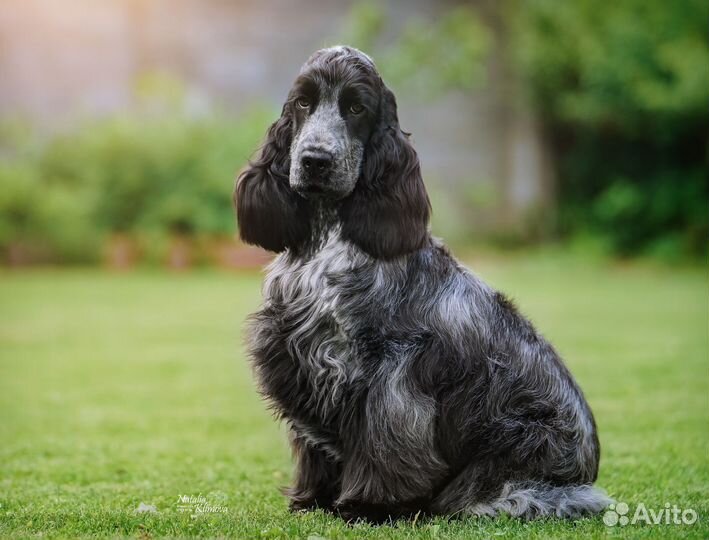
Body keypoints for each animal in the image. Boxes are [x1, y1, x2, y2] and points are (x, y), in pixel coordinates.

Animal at [234, 46, 608, 524]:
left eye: (356, 108)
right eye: (303, 103)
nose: (315, 160)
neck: (327, 237)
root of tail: (589, 466)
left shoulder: (392, 372)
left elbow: (386, 443)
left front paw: (368, 506)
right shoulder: (299, 358)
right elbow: (314, 445)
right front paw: (311, 500)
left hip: (518, 442)